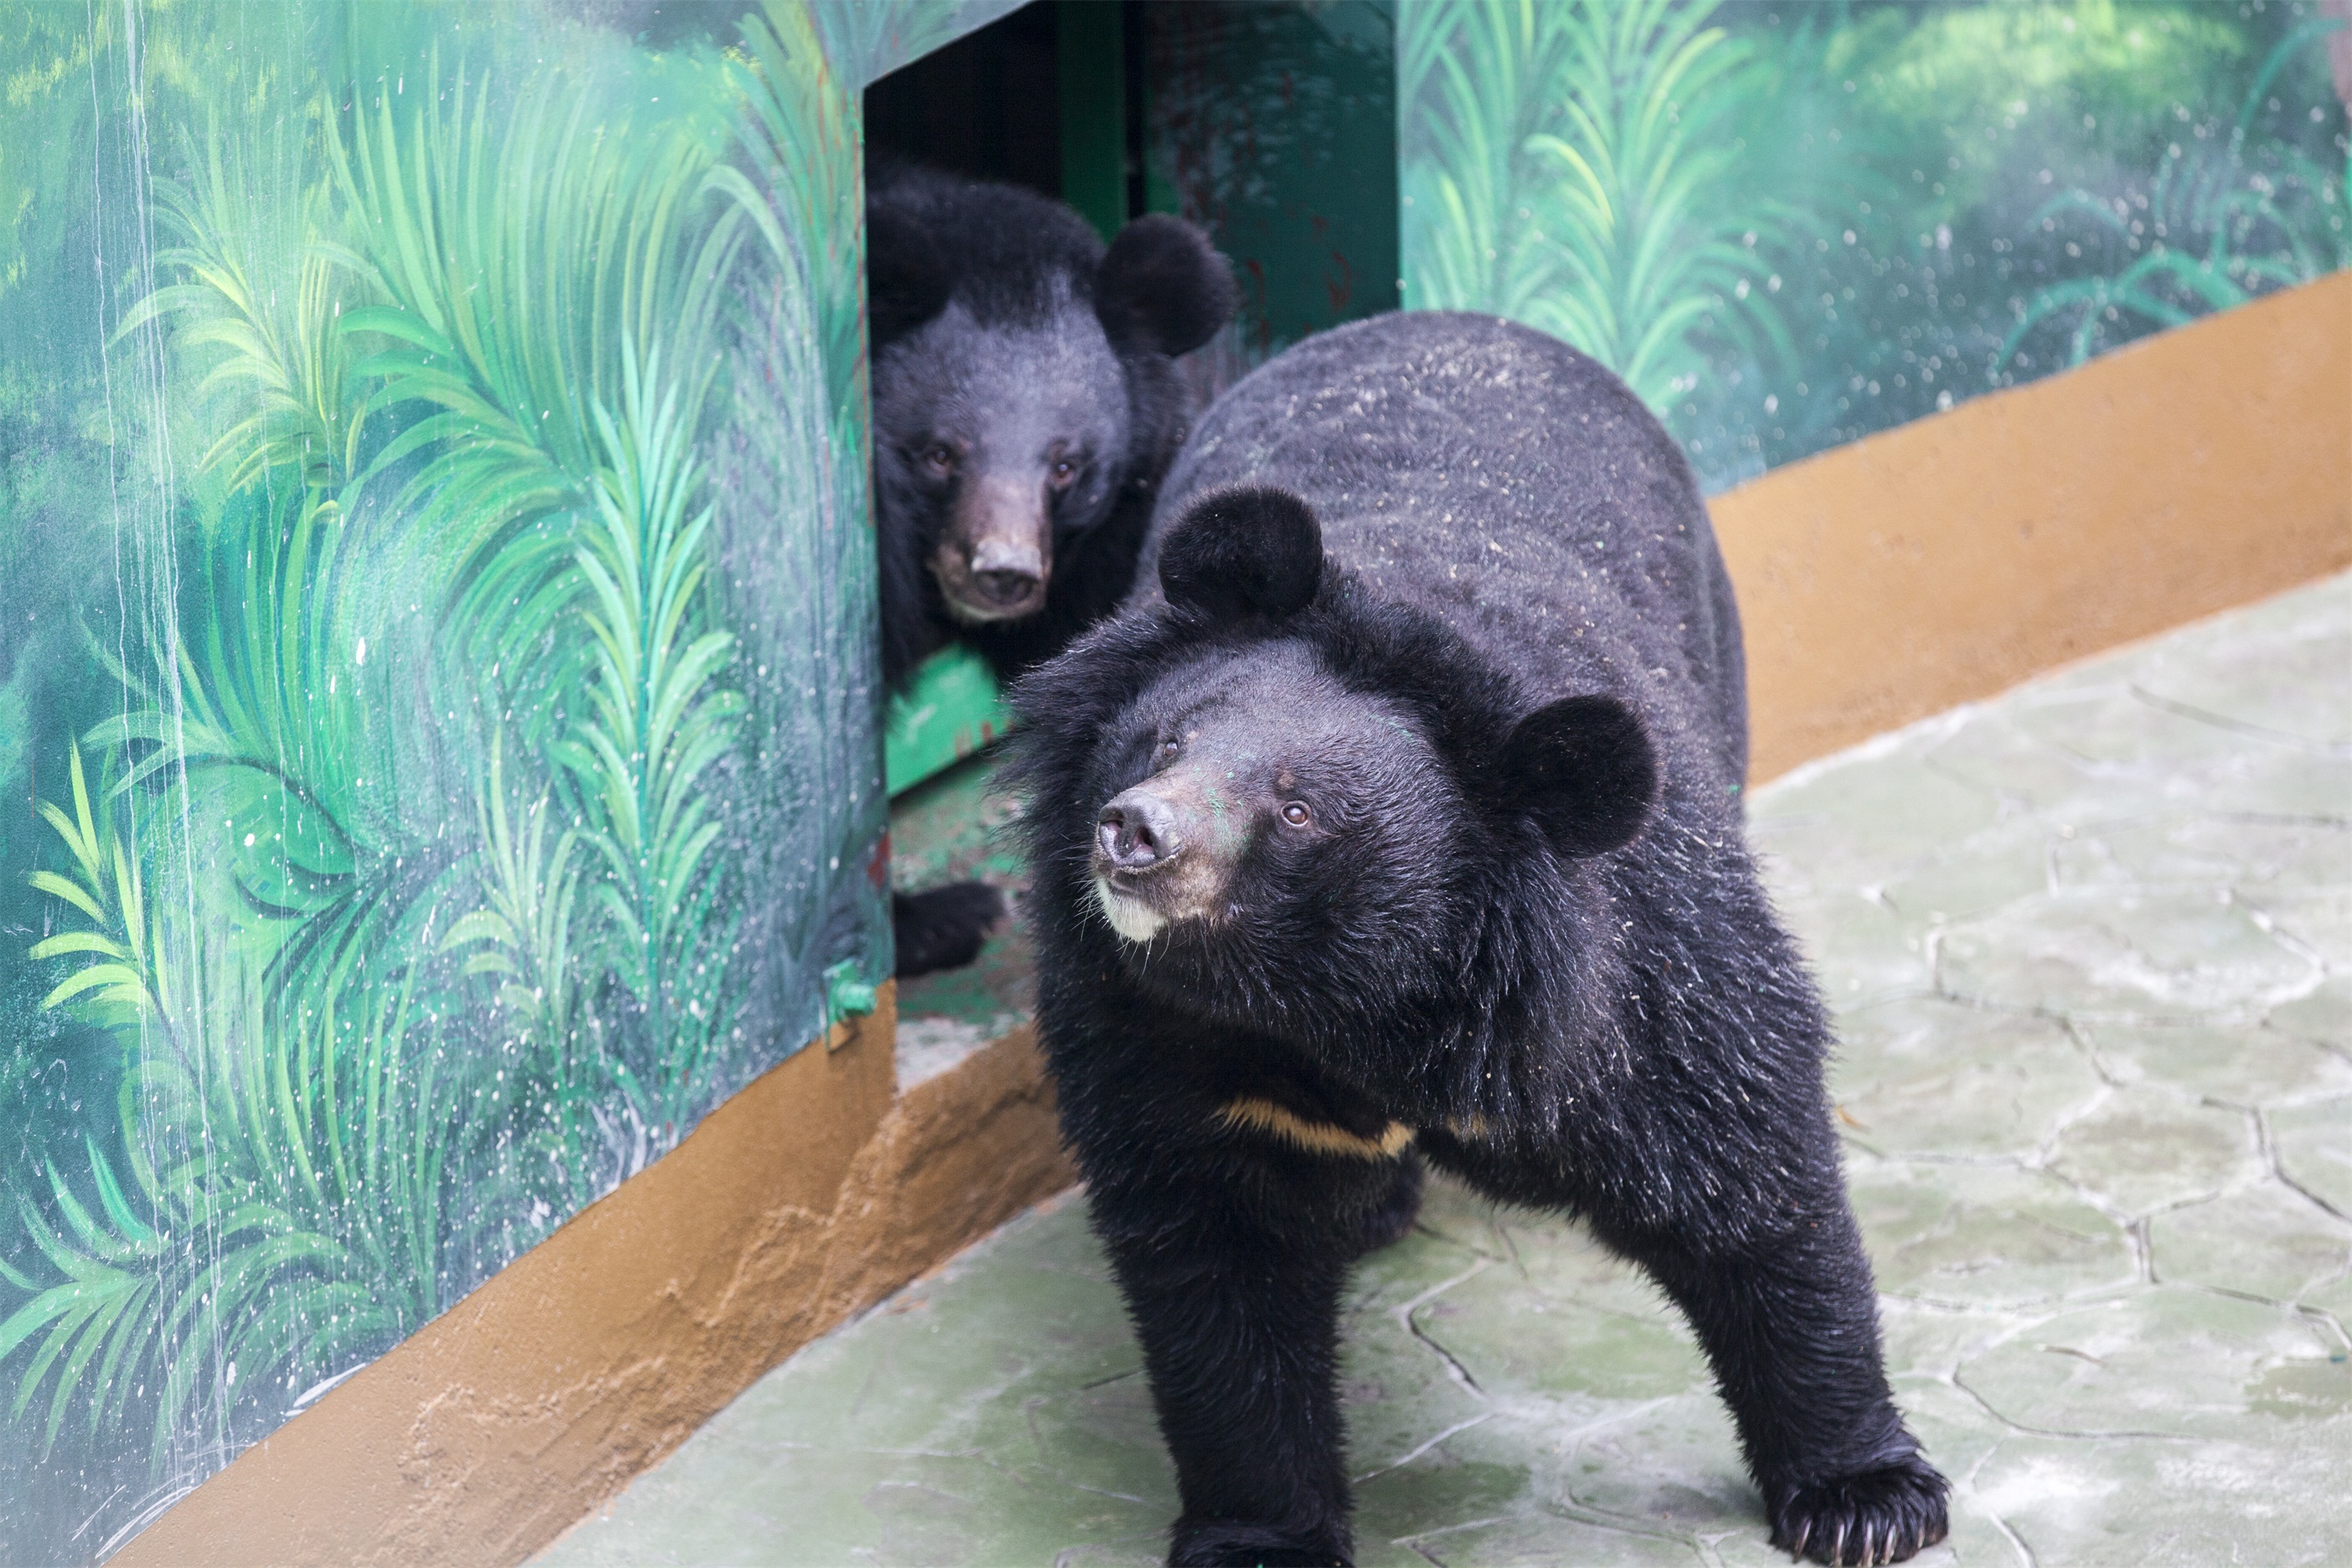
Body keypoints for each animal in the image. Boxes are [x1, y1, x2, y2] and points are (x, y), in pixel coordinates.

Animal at [1011, 312, 1947, 1560]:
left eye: (1298, 810)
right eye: (1166, 739)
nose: (1133, 834)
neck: (1341, 995)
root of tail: (1451, 318)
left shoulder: (1626, 978)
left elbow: (1745, 1172)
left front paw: (1868, 1501)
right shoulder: (1151, 1031)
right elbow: (1221, 1271)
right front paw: (1259, 1533)